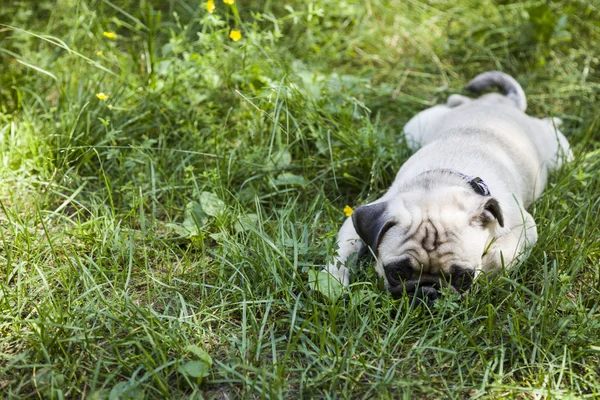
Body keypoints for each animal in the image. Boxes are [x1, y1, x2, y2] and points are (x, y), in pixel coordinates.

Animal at [328, 71, 572, 300]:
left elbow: (498, 256)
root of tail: (501, 103)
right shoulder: (356, 224)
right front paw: (334, 283)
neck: (440, 184)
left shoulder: (524, 226)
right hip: (413, 130)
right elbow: (340, 254)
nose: (427, 290)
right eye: (397, 273)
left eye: (463, 278)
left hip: (560, 155)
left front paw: (486, 270)